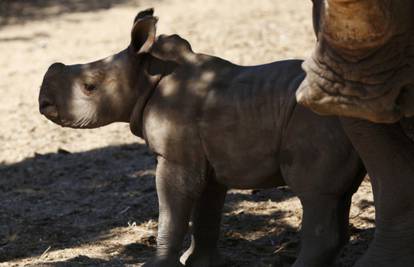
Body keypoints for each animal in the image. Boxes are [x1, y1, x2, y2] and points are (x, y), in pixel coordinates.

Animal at [38, 8, 362, 267]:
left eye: (89, 87)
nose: (43, 103)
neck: (147, 75)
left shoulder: (175, 158)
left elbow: (172, 210)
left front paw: (159, 265)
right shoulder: (211, 159)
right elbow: (206, 212)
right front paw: (197, 262)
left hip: (314, 119)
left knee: (316, 195)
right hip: (332, 122)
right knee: (339, 196)